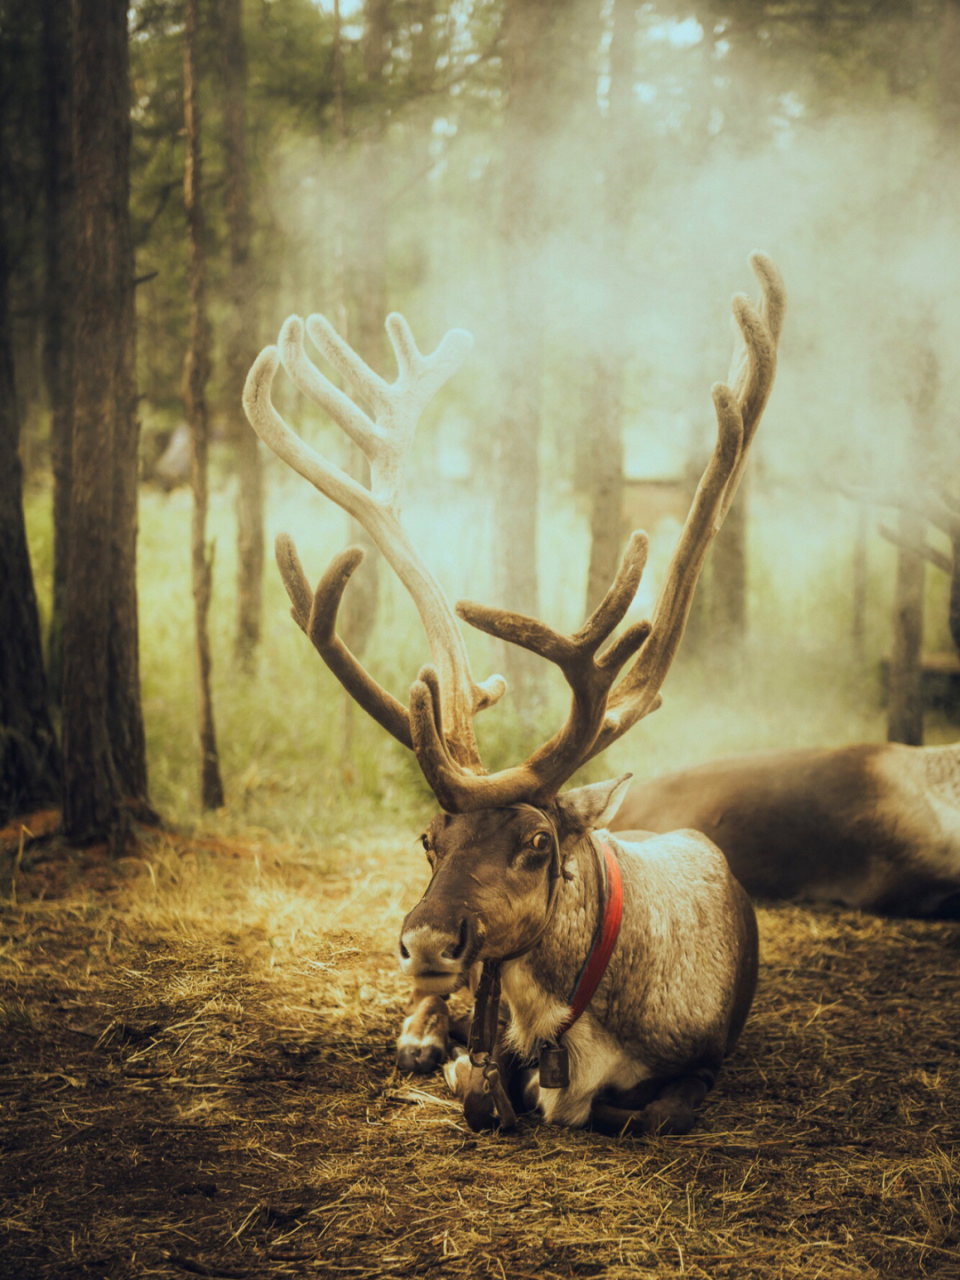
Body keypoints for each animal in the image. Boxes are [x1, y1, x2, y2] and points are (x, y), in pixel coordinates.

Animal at [242, 252, 785, 1135]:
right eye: (429, 838)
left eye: (537, 843)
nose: (428, 943)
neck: (578, 1021)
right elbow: (481, 1079)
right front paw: (449, 1055)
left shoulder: (704, 1062)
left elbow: (638, 1111)